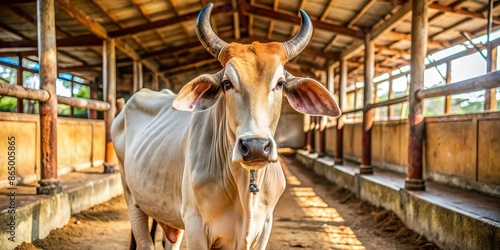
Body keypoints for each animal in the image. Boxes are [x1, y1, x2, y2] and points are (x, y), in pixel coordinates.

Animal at [111, 2, 342, 250]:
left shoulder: (264, 227)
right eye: (227, 83)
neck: (244, 189)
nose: (255, 146)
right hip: (132, 199)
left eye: (280, 83)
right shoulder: (195, 226)